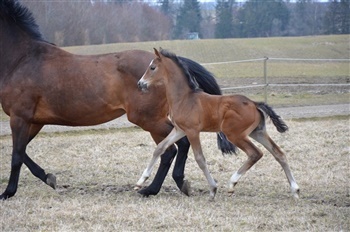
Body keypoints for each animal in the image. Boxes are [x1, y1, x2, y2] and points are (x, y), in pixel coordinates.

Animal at [138, 48, 300, 199]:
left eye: (152, 67)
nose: (140, 84)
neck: (184, 98)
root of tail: (254, 104)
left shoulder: (192, 131)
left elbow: (200, 159)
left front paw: (213, 189)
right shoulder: (179, 130)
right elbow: (160, 148)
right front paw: (141, 180)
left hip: (234, 134)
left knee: (255, 153)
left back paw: (232, 183)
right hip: (258, 132)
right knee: (279, 153)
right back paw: (295, 190)